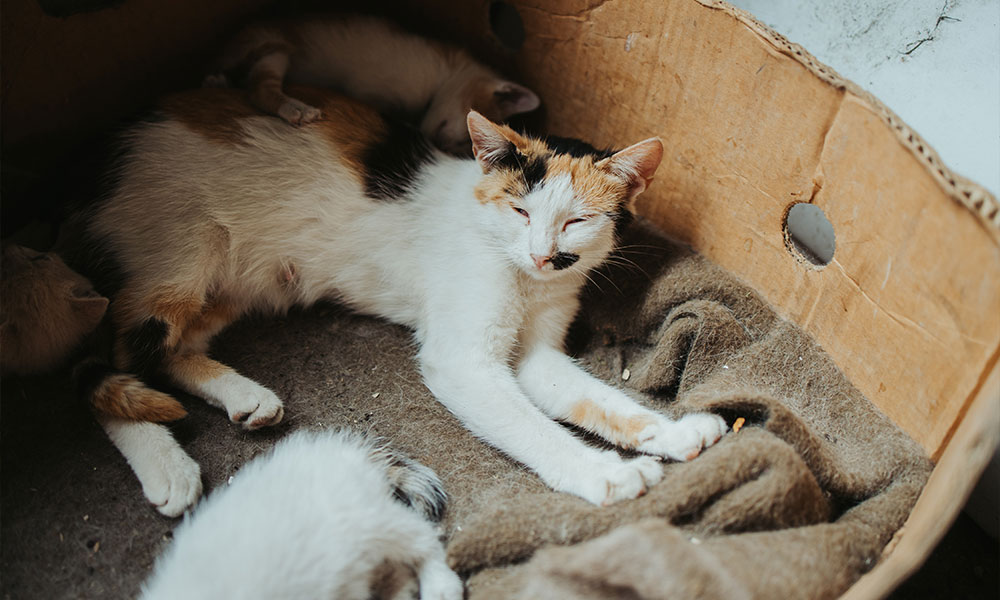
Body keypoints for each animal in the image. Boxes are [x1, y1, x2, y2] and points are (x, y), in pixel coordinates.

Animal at [68, 85, 728, 516]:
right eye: (521, 211)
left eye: (576, 221)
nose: (542, 254)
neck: (524, 277)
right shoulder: (463, 361)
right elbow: (530, 426)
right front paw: (606, 476)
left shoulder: (539, 351)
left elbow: (595, 398)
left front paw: (672, 434)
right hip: (182, 259)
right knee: (111, 360)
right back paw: (168, 466)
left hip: (241, 283)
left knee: (168, 352)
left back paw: (245, 396)